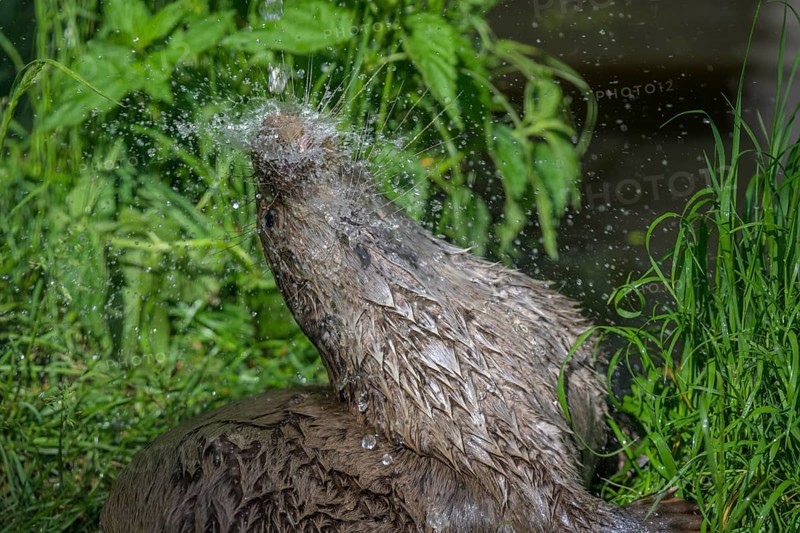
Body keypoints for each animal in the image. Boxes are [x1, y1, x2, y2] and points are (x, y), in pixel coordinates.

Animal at [102, 103, 700, 532]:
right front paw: (670, 513)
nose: (264, 135)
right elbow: (566, 514)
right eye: (268, 218)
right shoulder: (509, 464)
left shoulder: (574, 360)